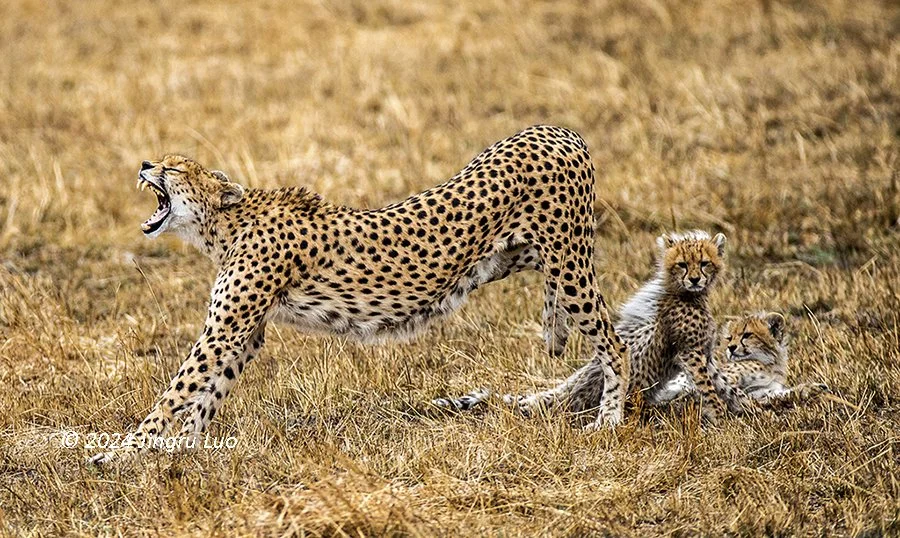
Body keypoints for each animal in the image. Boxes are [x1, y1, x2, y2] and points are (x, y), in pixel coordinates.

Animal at [88, 125, 631, 465]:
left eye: (175, 169)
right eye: (162, 162)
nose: (145, 164)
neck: (224, 225)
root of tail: (557, 130)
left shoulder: (224, 332)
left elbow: (172, 396)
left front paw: (120, 453)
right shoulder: (243, 332)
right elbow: (205, 395)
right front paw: (184, 448)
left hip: (567, 261)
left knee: (615, 342)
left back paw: (609, 420)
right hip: (512, 258)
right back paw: (558, 335)